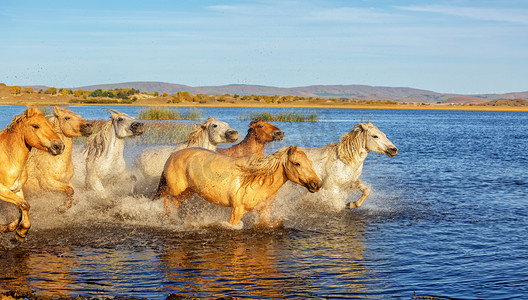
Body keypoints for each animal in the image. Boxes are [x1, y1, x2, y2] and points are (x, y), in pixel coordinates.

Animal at [0, 106, 64, 241]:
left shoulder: (17, 189)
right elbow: (24, 205)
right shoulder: (1, 190)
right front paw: (21, 231)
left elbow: (22, 207)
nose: (59, 146)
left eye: (51, 125)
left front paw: (12, 228)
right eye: (36, 126)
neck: (7, 157)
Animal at [151, 146, 320, 227]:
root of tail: (172, 155)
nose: (316, 184)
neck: (255, 181)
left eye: (310, 163)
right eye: (297, 163)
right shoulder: (237, 210)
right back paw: (165, 215)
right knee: (165, 194)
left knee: (175, 201)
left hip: (190, 190)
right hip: (176, 187)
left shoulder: (263, 211)